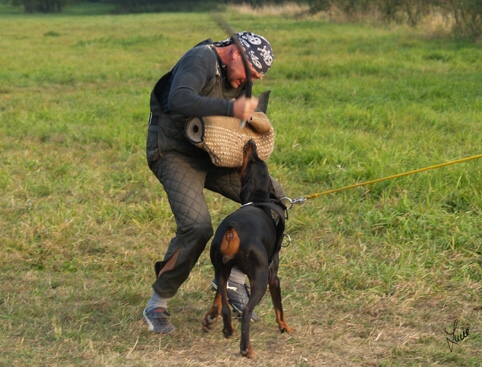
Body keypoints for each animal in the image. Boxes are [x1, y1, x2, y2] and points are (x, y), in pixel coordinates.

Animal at [201, 139, 292, 358]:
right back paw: (246, 348)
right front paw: (285, 327)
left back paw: (228, 330)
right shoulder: (273, 276)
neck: (259, 201)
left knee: (226, 307)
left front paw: (211, 318)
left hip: (221, 268)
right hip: (259, 279)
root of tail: (232, 230)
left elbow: (219, 297)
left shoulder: (224, 271)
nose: (250, 141)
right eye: (254, 159)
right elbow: (279, 308)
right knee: (247, 312)